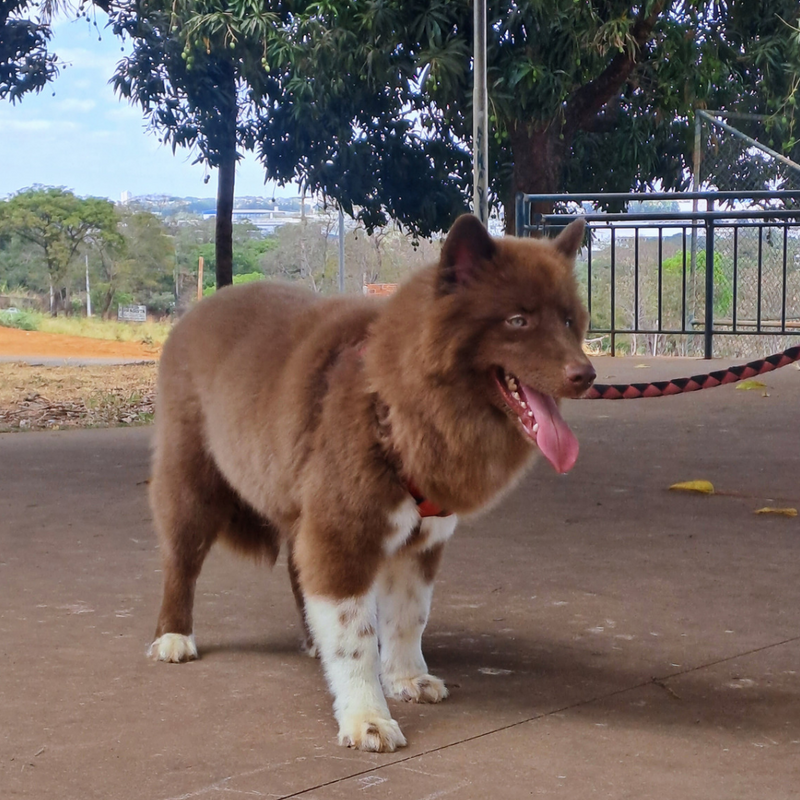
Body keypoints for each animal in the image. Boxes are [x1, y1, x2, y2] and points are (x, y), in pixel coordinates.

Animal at [148, 212, 592, 752]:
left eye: (569, 320)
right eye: (518, 320)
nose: (586, 374)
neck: (394, 403)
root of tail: (198, 309)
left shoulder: (422, 542)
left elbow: (408, 618)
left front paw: (406, 678)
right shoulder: (343, 530)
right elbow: (355, 638)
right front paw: (366, 716)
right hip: (191, 482)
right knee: (181, 562)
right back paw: (173, 636)